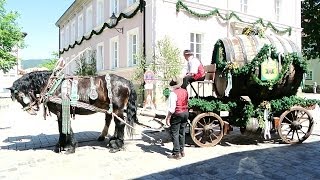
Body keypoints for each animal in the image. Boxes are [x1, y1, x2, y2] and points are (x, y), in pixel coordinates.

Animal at [7, 70, 138, 153]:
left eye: (19, 96)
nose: (32, 111)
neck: (54, 85)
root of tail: (127, 82)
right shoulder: (62, 112)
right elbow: (62, 127)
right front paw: (65, 145)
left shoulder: (61, 111)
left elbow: (64, 128)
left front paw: (66, 147)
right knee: (113, 121)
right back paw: (112, 140)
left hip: (118, 108)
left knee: (120, 124)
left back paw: (117, 145)